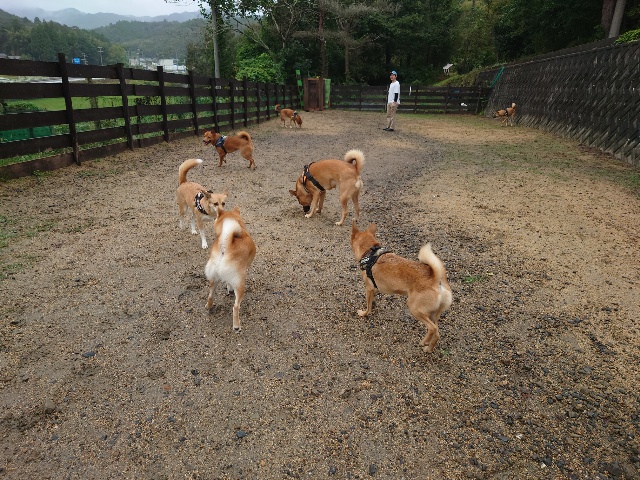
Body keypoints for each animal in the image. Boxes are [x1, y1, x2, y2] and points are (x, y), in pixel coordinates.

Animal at [350, 221, 453, 353]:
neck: (370, 252)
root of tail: (436, 279)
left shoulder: (369, 288)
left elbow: (368, 306)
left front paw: (364, 313)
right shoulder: (374, 288)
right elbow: (372, 300)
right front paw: (374, 304)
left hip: (415, 309)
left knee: (432, 328)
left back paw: (424, 342)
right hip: (433, 314)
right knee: (438, 333)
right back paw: (429, 348)